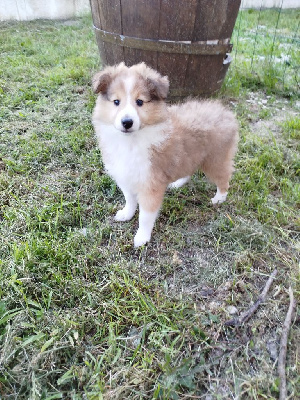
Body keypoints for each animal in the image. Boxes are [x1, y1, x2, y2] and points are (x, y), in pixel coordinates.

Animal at [92, 62, 238, 247]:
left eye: (140, 102)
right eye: (116, 102)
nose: (127, 122)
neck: (131, 141)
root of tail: (226, 113)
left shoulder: (150, 184)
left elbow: (145, 216)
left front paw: (141, 238)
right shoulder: (126, 176)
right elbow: (130, 200)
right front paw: (126, 214)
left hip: (216, 160)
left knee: (224, 179)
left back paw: (218, 199)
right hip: (191, 157)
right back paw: (177, 184)